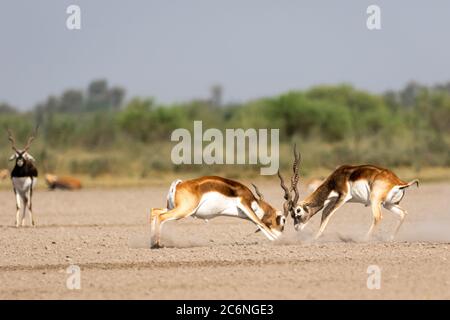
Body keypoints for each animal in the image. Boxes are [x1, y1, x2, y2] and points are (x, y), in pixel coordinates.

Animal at [151, 145, 302, 248]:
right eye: (283, 220)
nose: (281, 234)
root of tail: (179, 184)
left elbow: (258, 223)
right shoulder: (245, 204)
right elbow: (260, 223)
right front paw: (279, 241)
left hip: (173, 207)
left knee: (154, 211)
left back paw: (152, 243)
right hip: (184, 210)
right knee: (161, 217)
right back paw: (157, 245)